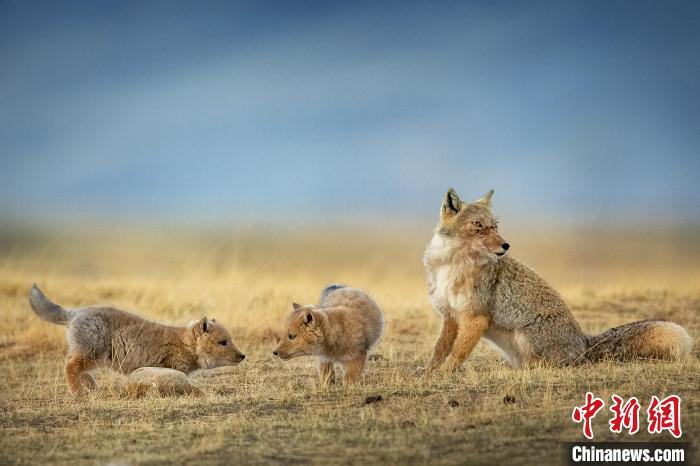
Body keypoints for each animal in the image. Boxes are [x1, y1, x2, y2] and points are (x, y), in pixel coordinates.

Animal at [28, 284, 247, 394]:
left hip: (91, 357)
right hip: (91, 355)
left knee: (78, 369)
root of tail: (75, 312)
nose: (243, 356)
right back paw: (78, 393)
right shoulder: (169, 370)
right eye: (223, 342)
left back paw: (90, 386)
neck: (185, 344)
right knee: (70, 366)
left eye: (229, 340)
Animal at [424, 187, 692, 374]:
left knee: (547, 364)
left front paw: (444, 373)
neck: (453, 265)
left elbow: (458, 352)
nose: (506, 245)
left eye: (495, 226)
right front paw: (429, 371)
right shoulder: (450, 315)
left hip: (525, 336)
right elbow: (440, 348)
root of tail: (583, 342)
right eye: (478, 225)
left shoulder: (475, 317)